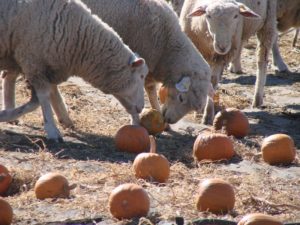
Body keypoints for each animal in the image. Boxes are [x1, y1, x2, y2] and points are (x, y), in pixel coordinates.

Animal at [0, 0, 149, 142]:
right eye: (141, 76)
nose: (141, 108)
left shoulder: (48, 67)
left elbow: (43, 98)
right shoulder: (33, 62)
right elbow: (43, 98)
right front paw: (52, 130)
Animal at [1, 0, 211, 125]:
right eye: (182, 98)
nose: (169, 120)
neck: (168, 44)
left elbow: (149, 89)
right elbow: (145, 90)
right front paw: (138, 120)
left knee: (12, 75)